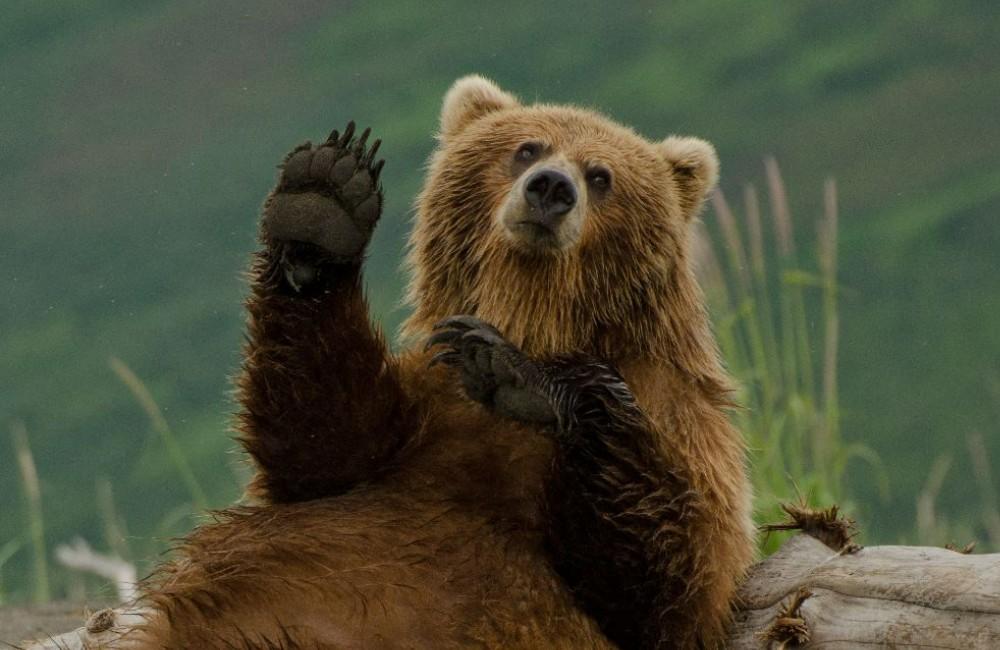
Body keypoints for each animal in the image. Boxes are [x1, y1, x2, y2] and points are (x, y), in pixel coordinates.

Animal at [105, 77, 752, 648]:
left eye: (601, 175)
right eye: (527, 148)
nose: (550, 188)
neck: (532, 315)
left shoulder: (680, 417)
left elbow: (669, 581)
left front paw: (520, 376)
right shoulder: (424, 404)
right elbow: (321, 440)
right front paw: (322, 205)